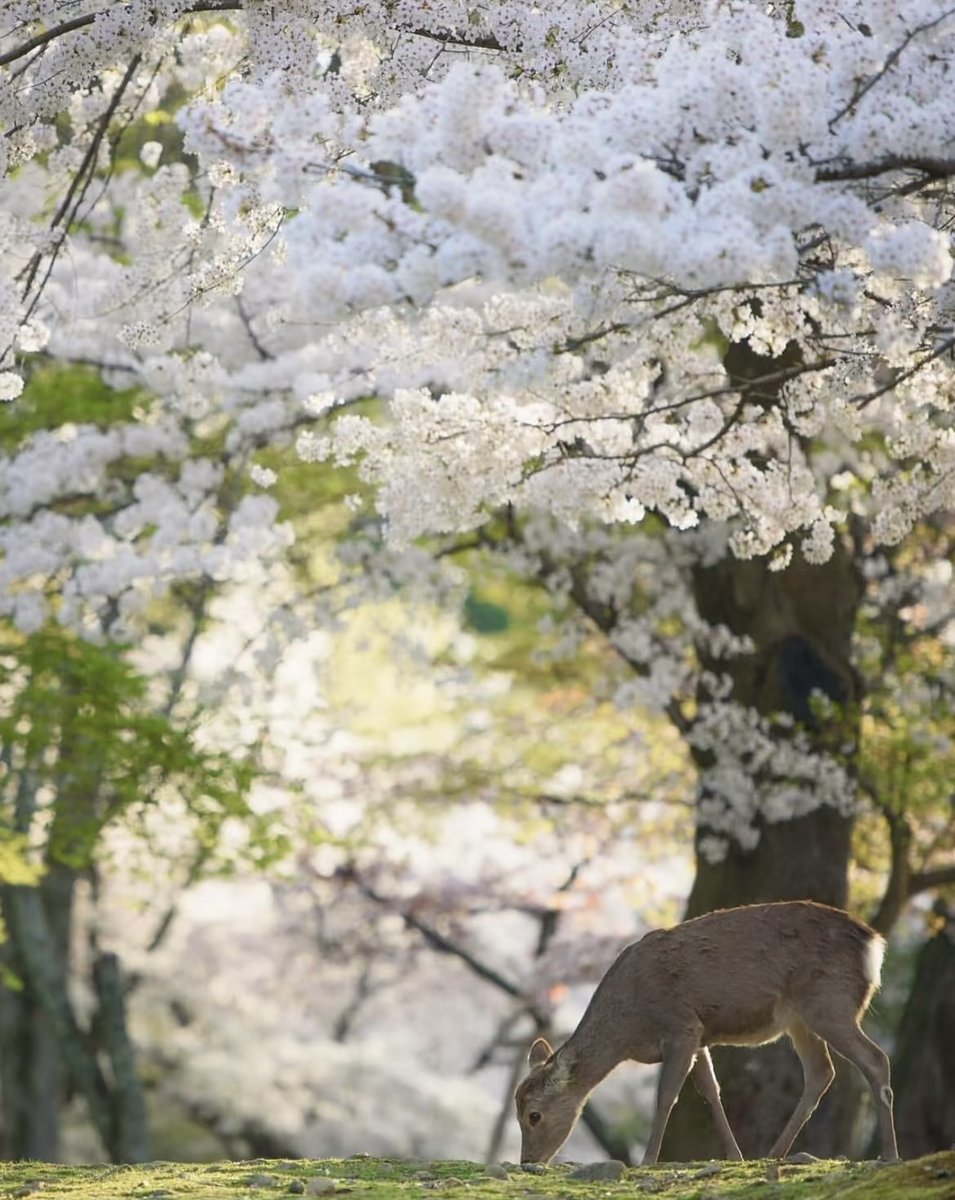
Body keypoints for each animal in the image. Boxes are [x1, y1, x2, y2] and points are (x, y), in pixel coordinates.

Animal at [515, 900, 899, 1167]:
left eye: (534, 1115)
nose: (528, 1161)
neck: (630, 1028)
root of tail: (874, 944)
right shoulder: (698, 1035)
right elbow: (711, 1091)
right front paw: (736, 1156)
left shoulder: (680, 1025)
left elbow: (667, 1095)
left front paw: (647, 1160)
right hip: (800, 1019)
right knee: (822, 1072)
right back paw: (772, 1154)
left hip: (829, 1003)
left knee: (876, 1059)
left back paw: (891, 1154)